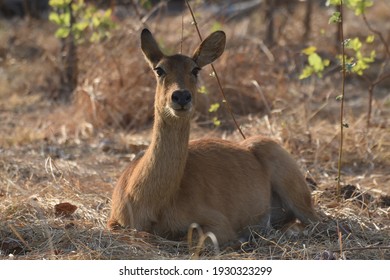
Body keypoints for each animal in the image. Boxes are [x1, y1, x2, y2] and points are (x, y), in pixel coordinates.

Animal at [106, 27, 316, 244]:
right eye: (159, 69)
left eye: (195, 69)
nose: (181, 96)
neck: (152, 202)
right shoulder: (114, 222)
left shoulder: (218, 224)